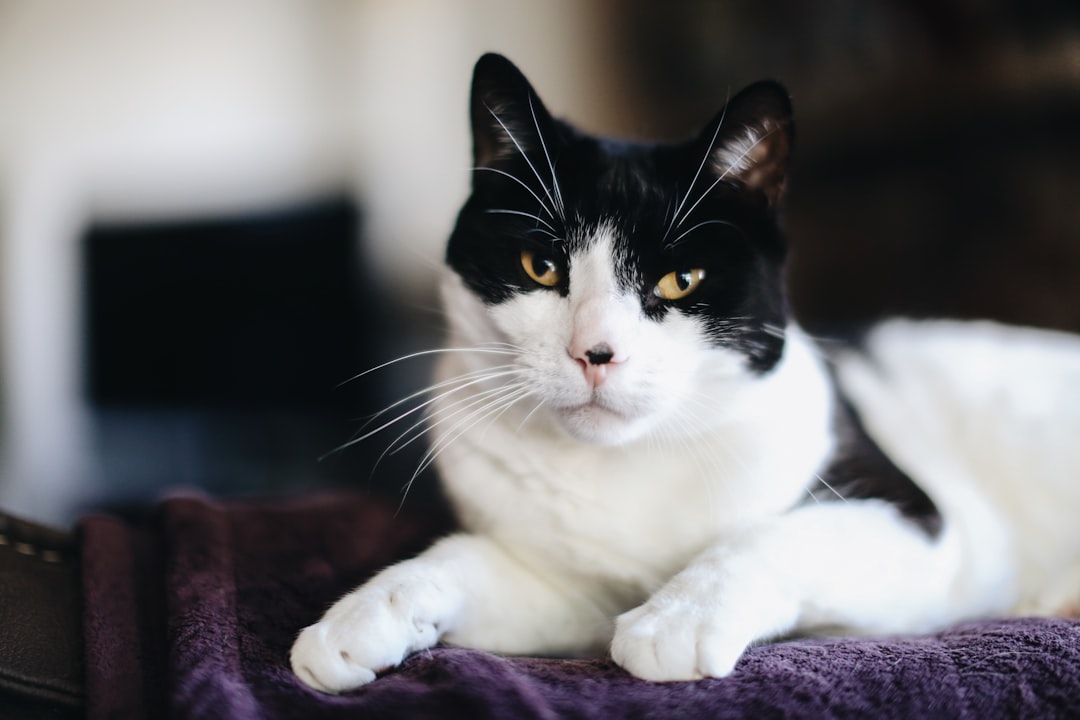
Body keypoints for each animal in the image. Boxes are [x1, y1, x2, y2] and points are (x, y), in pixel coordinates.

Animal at [287, 50, 1080, 690]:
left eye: (680, 281)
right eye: (541, 267)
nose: (595, 352)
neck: (629, 464)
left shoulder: (925, 531)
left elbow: (772, 535)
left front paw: (674, 621)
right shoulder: (570, 593)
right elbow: (456, 561)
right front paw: (355, 620)